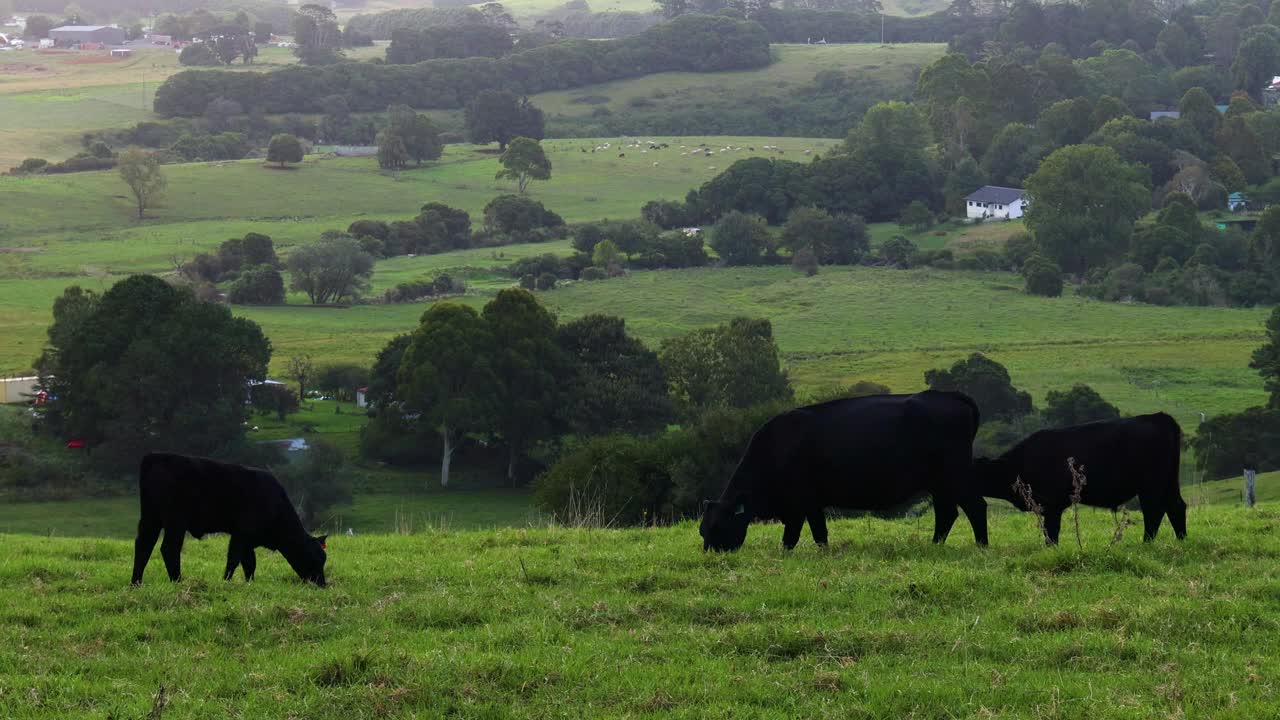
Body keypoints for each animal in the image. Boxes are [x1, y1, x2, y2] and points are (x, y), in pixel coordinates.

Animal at [129, 450, 327, 586]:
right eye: (316, 557)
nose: (322, 584)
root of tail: (155, 456)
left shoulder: (248, 540)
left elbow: (249, 563)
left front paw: (250, 583)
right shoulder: (242, 534)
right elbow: (234, 559)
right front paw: (226, 581)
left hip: (150, 519)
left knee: (143, 545)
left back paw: (135, 583)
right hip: (175, 520)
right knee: (169, 548)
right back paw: (177, 581)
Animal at [701, 386, 977, 548]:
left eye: (717, 527)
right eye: (702, 531)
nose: (712, 553)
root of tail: (952, 396)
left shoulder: (799, 503)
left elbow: (791, 537)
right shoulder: (812, 504)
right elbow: (819, 533)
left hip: (955, 476)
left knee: (974, 507)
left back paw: (981, 546)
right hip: (939, 484)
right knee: (947, 513)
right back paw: (935, 545)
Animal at [972, 412, 1182, 540]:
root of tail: (1159, 417)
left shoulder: (1052, 505)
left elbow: (1051, 533)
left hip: (1151, 486)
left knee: (1153, 511)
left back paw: (1147, 543)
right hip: (1169, 482)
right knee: (1176, 506)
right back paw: (1181, 540)